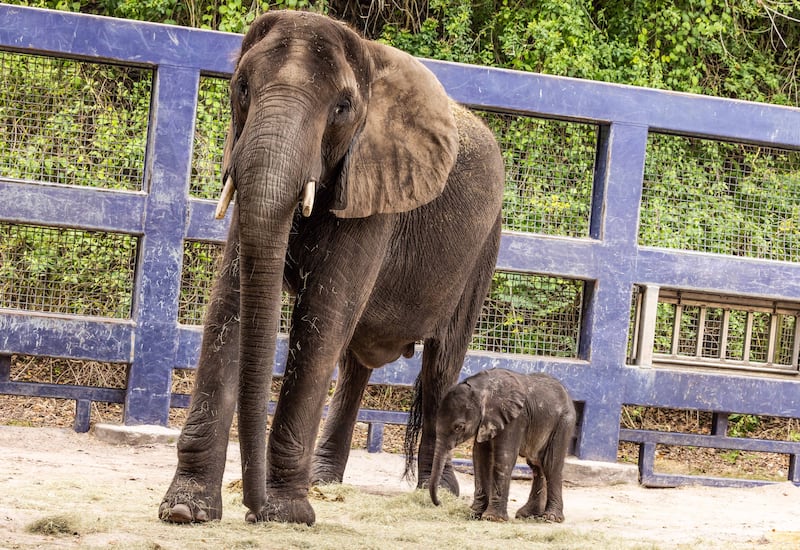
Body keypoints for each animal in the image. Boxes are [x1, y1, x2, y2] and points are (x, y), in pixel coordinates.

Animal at [159, 7, 504, 528]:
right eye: (242, 87)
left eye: (342, 108)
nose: (252, 508)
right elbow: (229, 306)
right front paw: (185, 510)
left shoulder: (375, 191)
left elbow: (321, 318)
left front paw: (285, 515)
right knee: (355, 363)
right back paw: (325, 481)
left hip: (483, 247)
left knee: (441, 364)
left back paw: (437, 491)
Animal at [432, 368, 576, 524]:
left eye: (459, 427)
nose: (439, 502)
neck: (482, 388)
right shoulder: (486, 421)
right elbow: (480, 457)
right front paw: (475, 514)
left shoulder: (516, 419)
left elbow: (504, 457)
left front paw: (492, 518)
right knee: (536, 465)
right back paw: (527, 515)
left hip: (564, 422)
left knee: (550, 464)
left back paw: (551, 518)